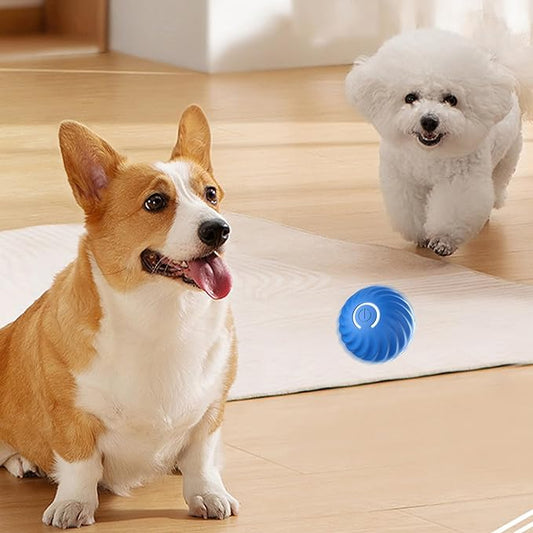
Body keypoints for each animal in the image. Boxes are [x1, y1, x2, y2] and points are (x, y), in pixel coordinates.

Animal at [0, 105, 239, 528]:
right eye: (155, 202)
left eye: (211, 194)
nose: (219, 230)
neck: (162, 317)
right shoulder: (72, 417)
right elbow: (80, 465)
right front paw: (72, 505)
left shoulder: (210, 411)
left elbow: (201, 460)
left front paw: (209, 495)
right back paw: (23, 461)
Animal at [342, 28, 524, 256]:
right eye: (410, 97)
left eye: (451, 99)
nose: (429, 121)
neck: (428, 154)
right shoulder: (405, 181)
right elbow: (411, 211)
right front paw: (421, 236)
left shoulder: (460, 181)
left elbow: (453, 212)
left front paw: (442, 241)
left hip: (507, 158)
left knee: (497, 184)